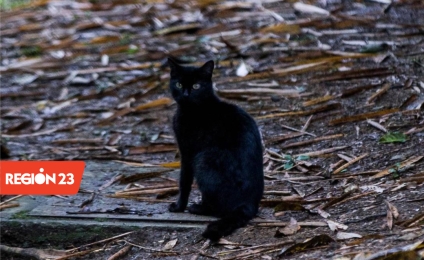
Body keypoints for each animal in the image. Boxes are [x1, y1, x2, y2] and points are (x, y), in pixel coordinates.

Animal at [167, 58, 264, 241]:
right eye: (179, 84)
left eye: (196, 86)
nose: (186, 94)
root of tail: (249, 204)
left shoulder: (188, 152)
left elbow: (184, 182)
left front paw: (178, 207)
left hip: (204, 159)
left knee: (219, 208)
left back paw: (198, 208)